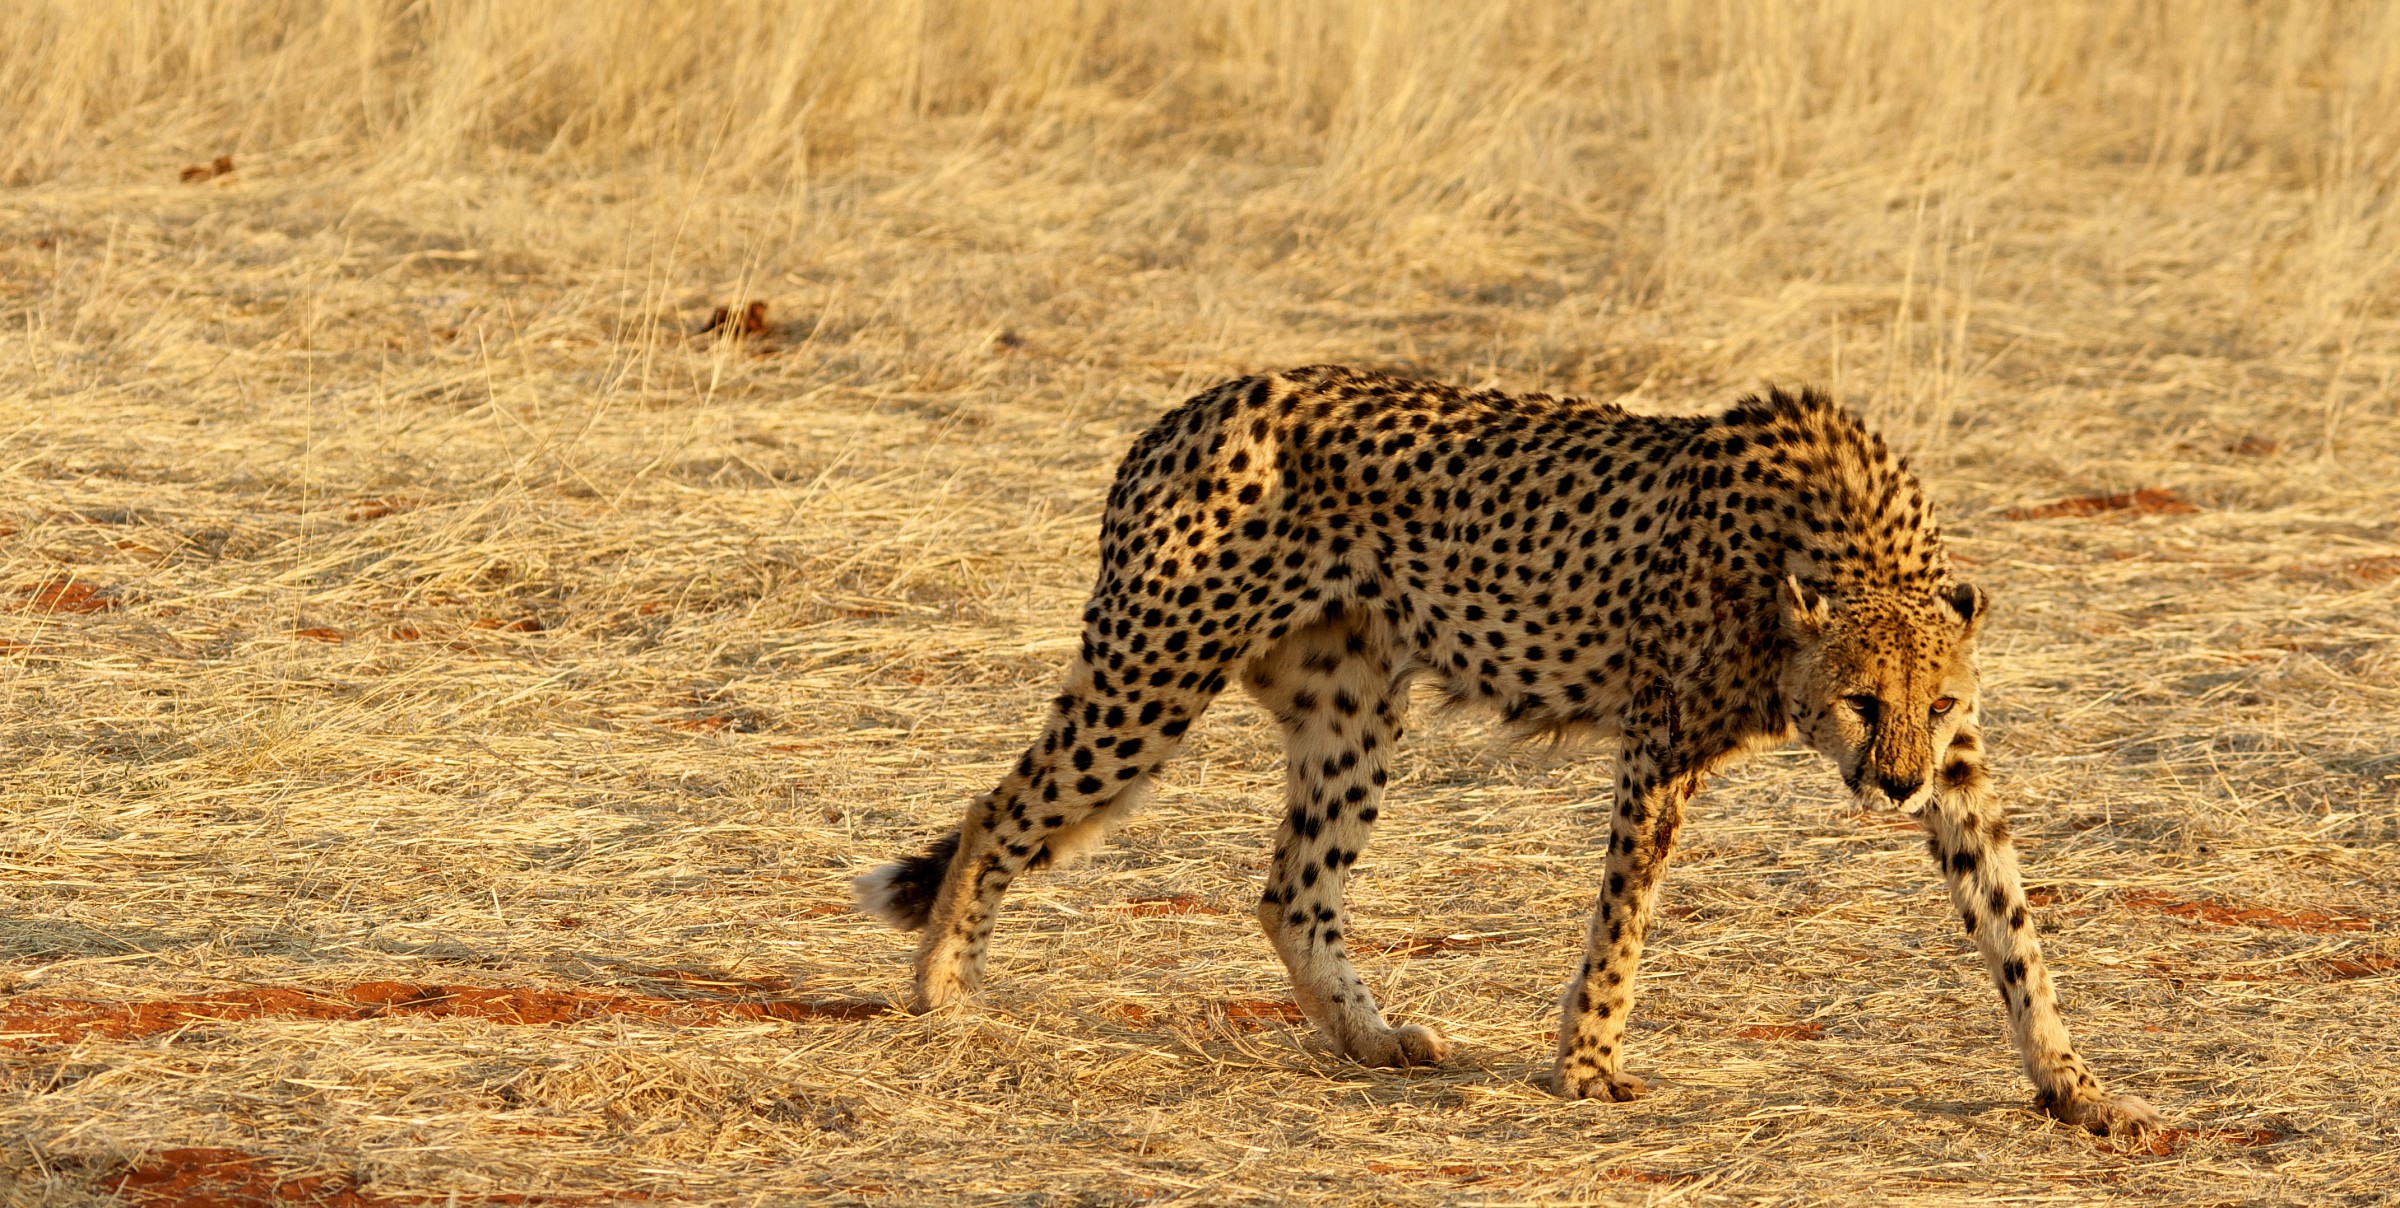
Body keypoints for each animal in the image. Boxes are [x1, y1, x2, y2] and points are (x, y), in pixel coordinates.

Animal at [854, 365, 2162, 1137]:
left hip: (1350, 705)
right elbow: (1623, 917)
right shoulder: (1659, 743)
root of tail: (1182, 412)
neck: (1842, 550)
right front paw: (1587, 1063)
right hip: (1156, 671)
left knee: (1291, 888)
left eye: (1935, 706)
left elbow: (2011, 921)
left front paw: (2077, 1083)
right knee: (1000, 808)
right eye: (1856, 699)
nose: (1891, 782)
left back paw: (1375, 1036)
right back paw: (942, 990)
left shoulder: (1961, 774)